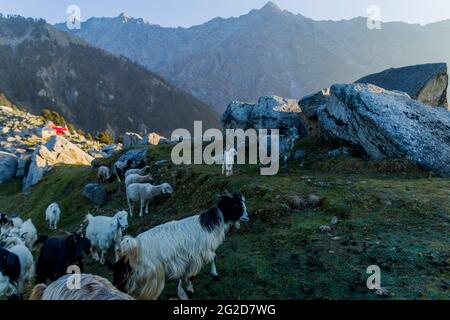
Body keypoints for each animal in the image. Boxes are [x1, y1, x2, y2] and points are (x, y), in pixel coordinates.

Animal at [116, 192, 250, 300]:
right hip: (148, 273)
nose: (247, 217)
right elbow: (196, 271)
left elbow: (213, 258)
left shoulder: (199, 252)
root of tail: (133, 245)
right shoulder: (197, 254)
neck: (210, 225)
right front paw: (192, 288)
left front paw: (214, 275)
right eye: (235, 205)